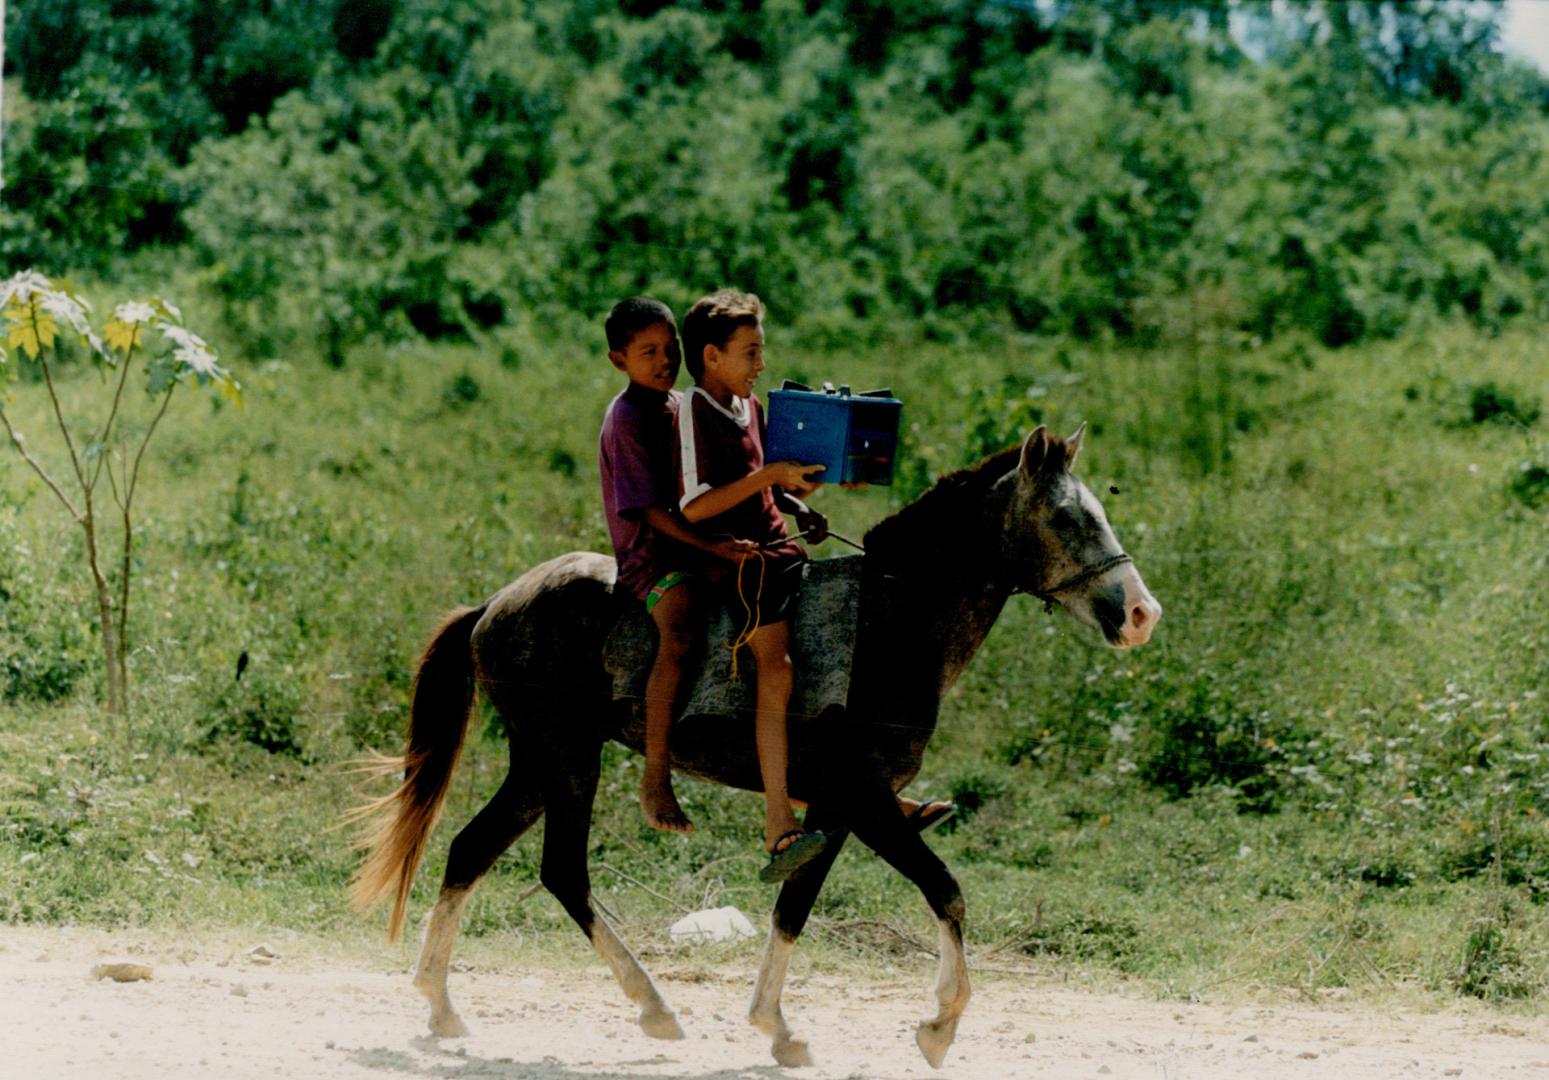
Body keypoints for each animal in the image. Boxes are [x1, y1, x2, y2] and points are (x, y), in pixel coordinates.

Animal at [351, 418, 1164, 1059]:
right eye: (1066, 519)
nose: (1140, 614)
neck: (889, 623)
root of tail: (495, 604)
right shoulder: (865, 800)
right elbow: (945, 891)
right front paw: (939, 1027)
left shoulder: (834, 811)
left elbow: (793, 908)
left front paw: (777, 1027)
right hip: (567, 758)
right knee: (562, 872)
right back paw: (653, 1007)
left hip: (538, 764)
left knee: (470, 850)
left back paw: (442, 1007)